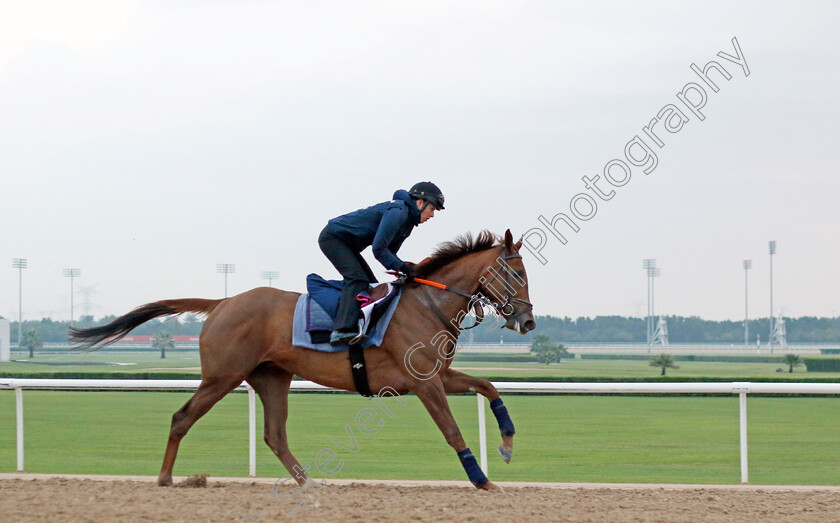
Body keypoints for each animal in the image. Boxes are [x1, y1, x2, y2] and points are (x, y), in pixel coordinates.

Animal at [69, 229, 536, 492]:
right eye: (516, 274)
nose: (527, 320)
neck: (429, 304)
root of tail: (222, 301)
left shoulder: (439, 374)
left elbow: (488, 386)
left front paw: (507, 445)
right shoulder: (424, 383)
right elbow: (452, 431)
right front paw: (482, 480)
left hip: (272, 378)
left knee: (275, 434)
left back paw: (308, 481)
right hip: (222, 376)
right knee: (182, 417)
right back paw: (165, 479)